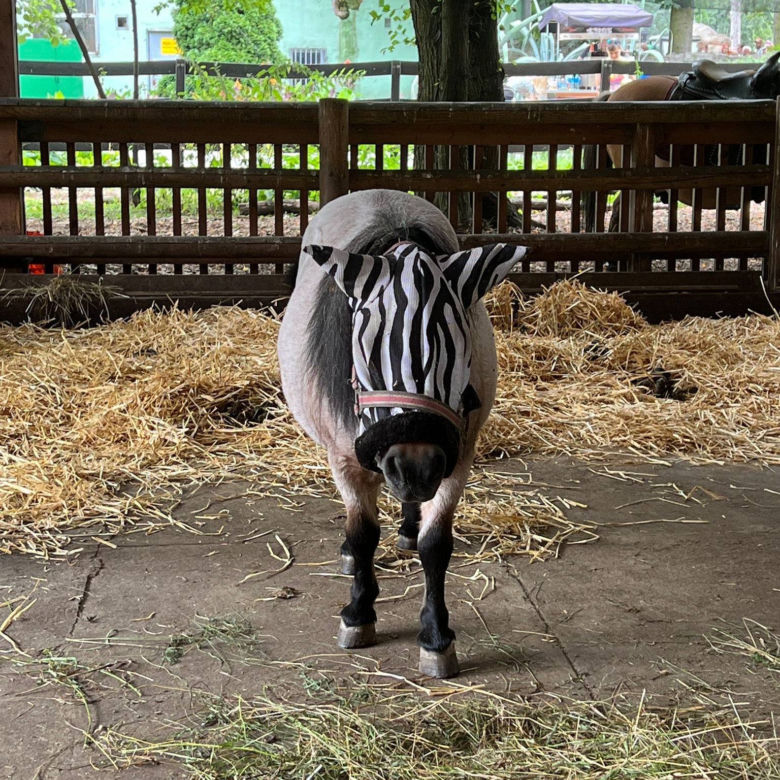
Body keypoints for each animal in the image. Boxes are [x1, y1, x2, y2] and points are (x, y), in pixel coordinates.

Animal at [278, 189, 526, 677]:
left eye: (463, 347)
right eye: (363, 348)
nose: (414, 467)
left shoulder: (458, 456)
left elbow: (436, 545)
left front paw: (435, 635)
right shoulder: (345, 459)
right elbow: (362, 534)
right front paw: (358, 612)